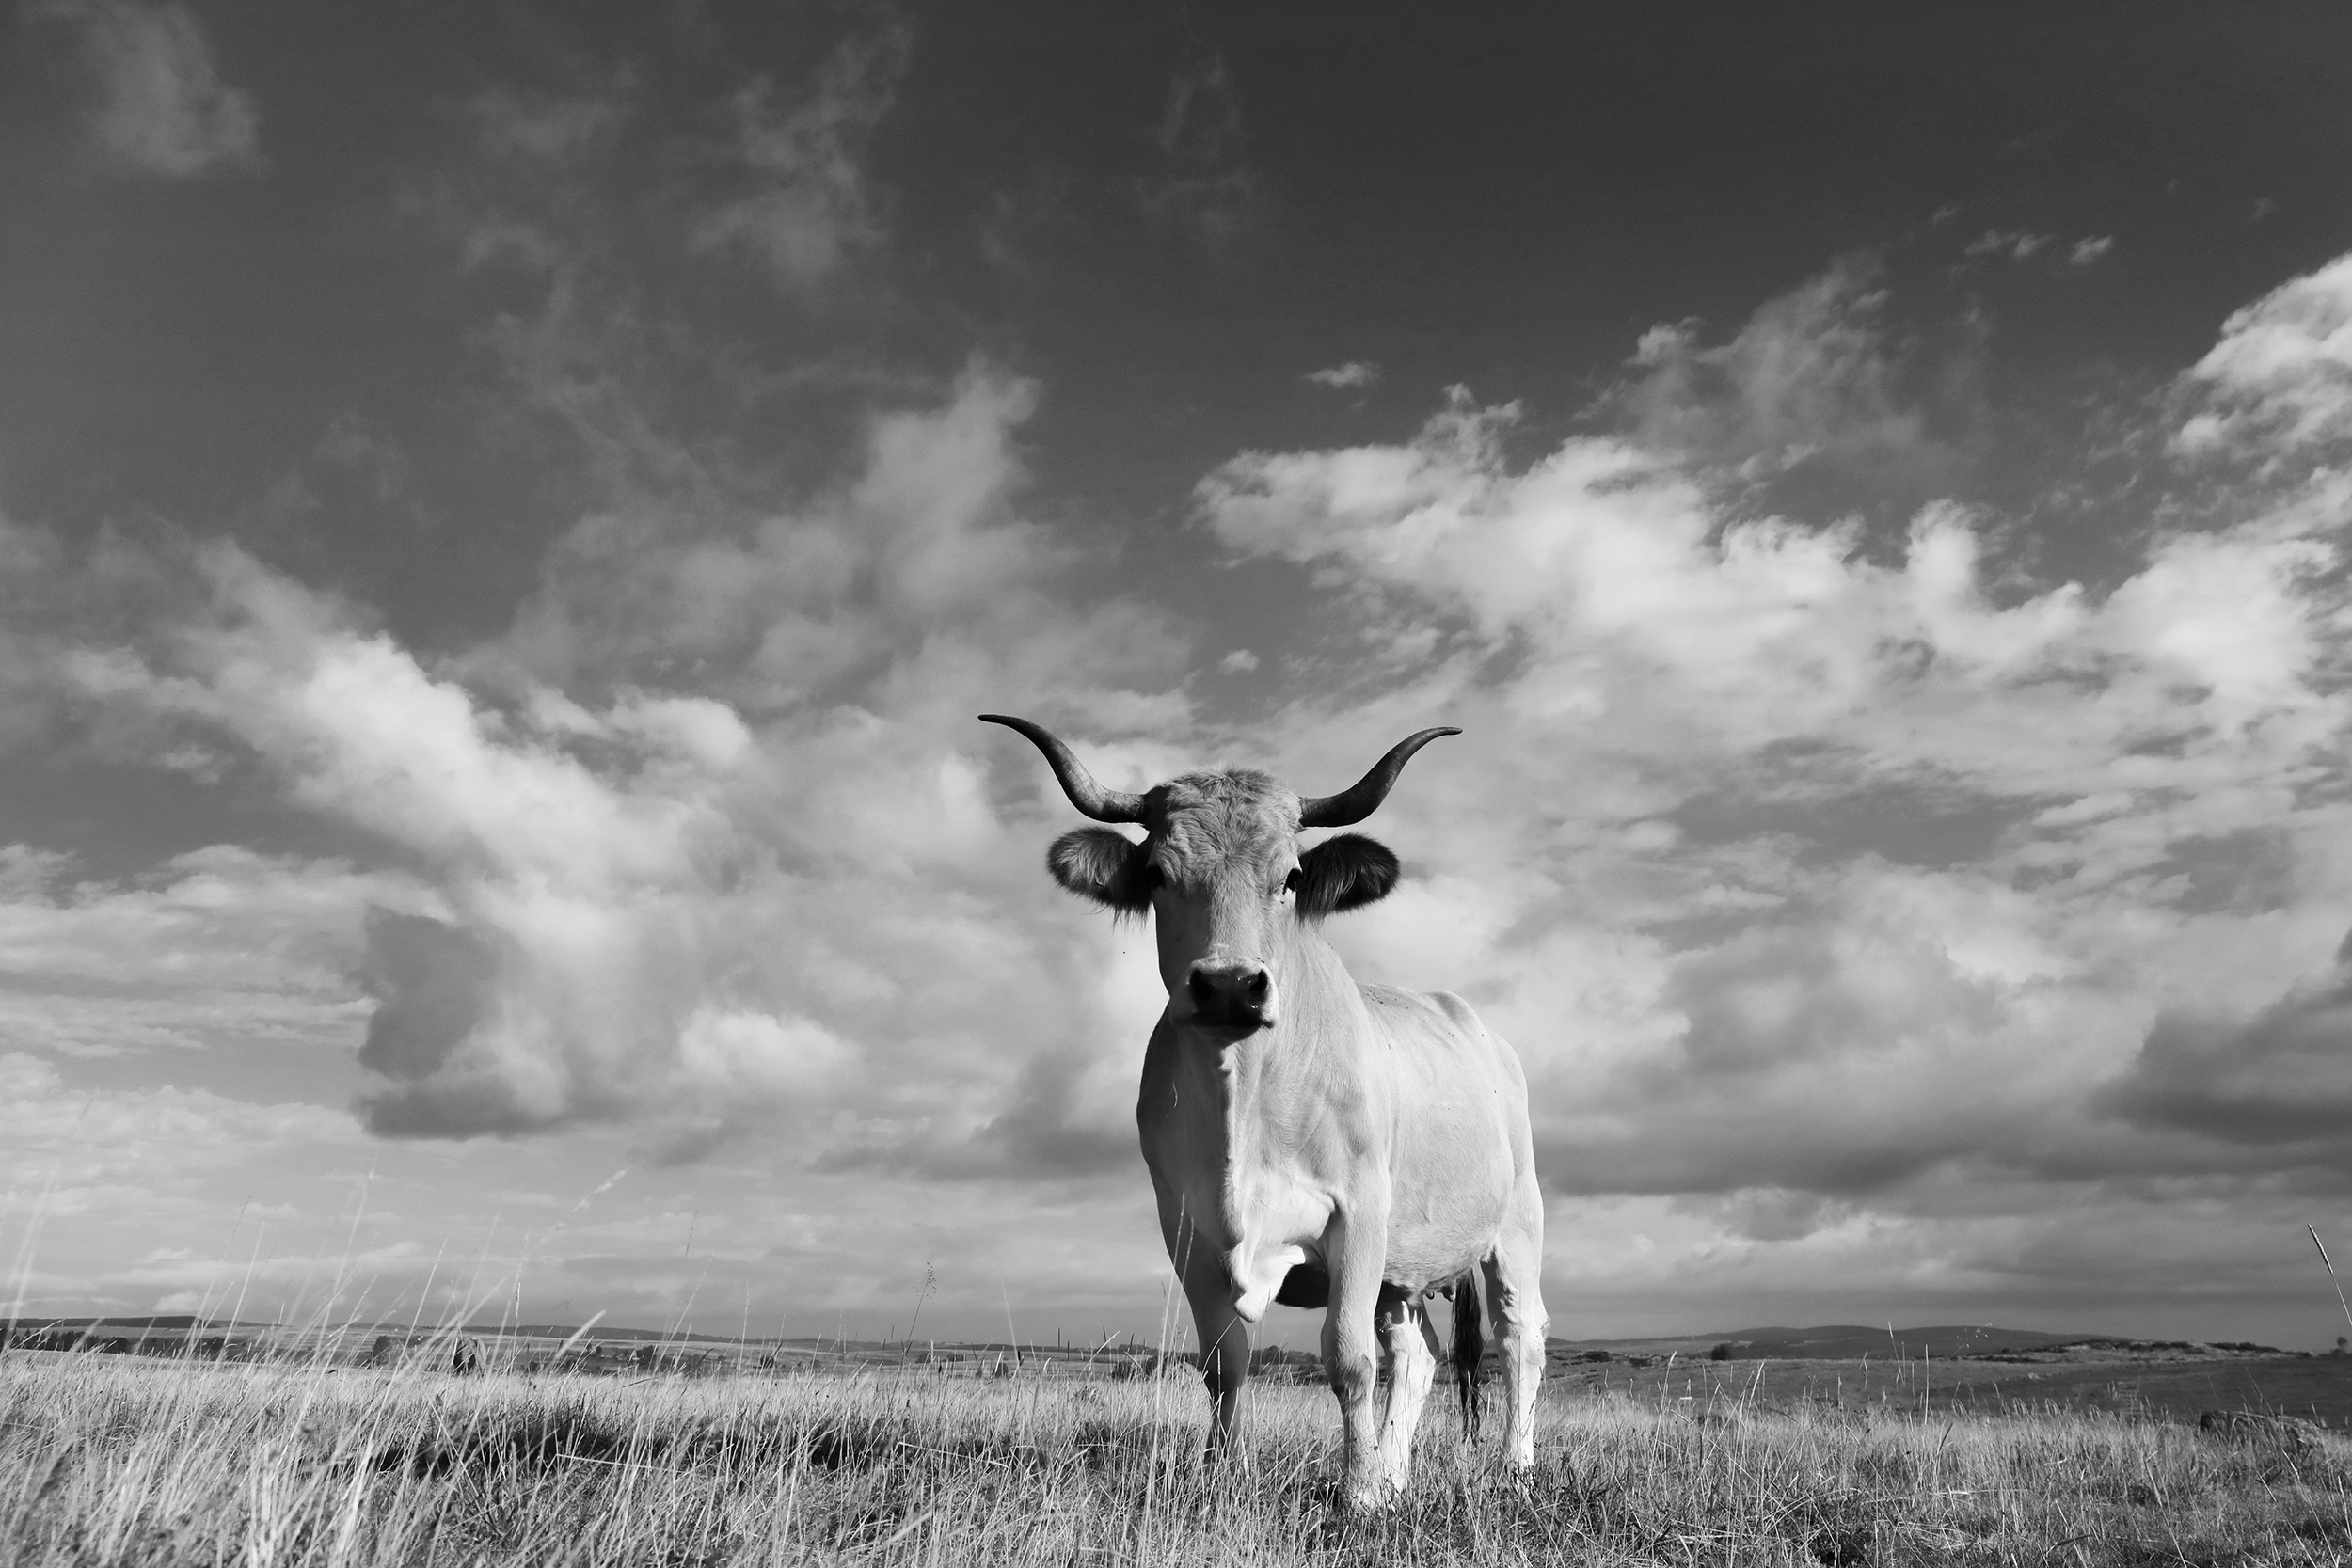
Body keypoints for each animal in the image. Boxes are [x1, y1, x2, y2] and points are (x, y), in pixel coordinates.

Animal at [974, 719, 1543, 1504]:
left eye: (1292, 876)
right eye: (1158, 874)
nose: (1228, 985)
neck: (1242, 1102)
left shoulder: (1358, 1214)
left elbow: (1348, 1357)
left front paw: (1357, 1494)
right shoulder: (1186, 1227)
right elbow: (1226, 1361)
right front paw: (1227, 1474)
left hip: (1515, 1226)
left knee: (1520, 1339)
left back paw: (1513, 1468)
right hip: (1403, 1268)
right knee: (1418, 1353)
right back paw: (1397, 1472)